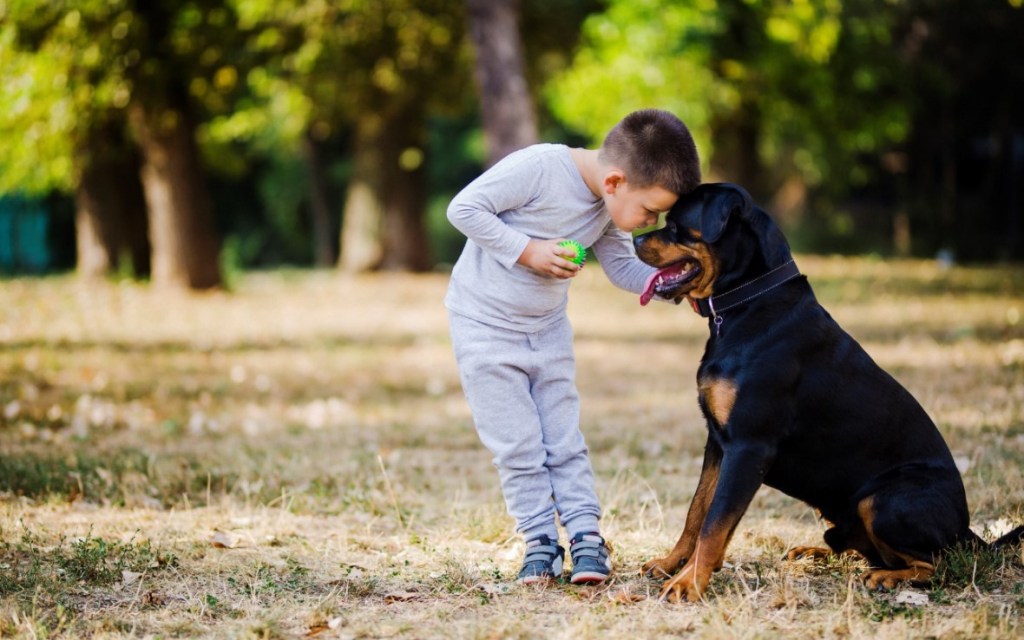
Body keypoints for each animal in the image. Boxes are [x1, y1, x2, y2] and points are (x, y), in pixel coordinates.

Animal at [630, 182, 1024, 602]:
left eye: (676, 226)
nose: (635, 238)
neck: (748, 304)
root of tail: (967, 531)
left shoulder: (749, 446)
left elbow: (714, 522)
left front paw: (688, 583)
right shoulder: (718, 443)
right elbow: (697, 510)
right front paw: (672, 564)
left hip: (884, 500)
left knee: (937, 563)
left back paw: (887, 577)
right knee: (858, 547)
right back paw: (813, 552)